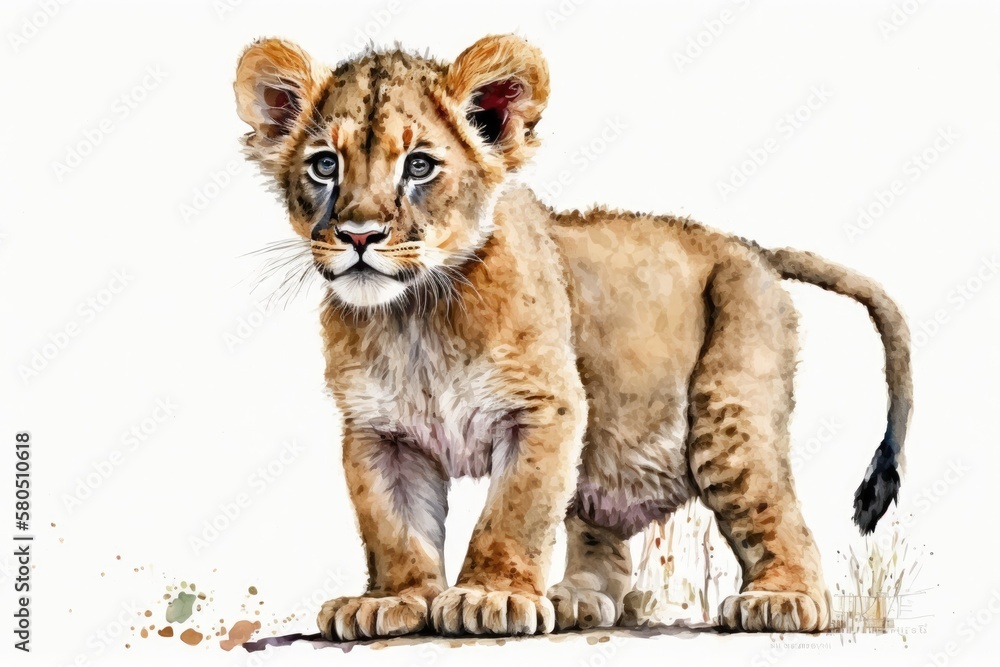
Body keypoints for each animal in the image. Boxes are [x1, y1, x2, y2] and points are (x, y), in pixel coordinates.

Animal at [233, 34, 912, 639]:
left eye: (419, 165)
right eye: (326, 164)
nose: (358, 235)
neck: (415, 316)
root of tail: (754, 248)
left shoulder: (545, 408)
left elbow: (515, 510)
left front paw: (491, 596)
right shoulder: (378, 432)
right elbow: (393, 526)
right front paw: (392, 601)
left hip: (730, 410)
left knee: (775, 510)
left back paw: (782, 599)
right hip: (610, 447)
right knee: (603, 537)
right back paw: (578, 598)